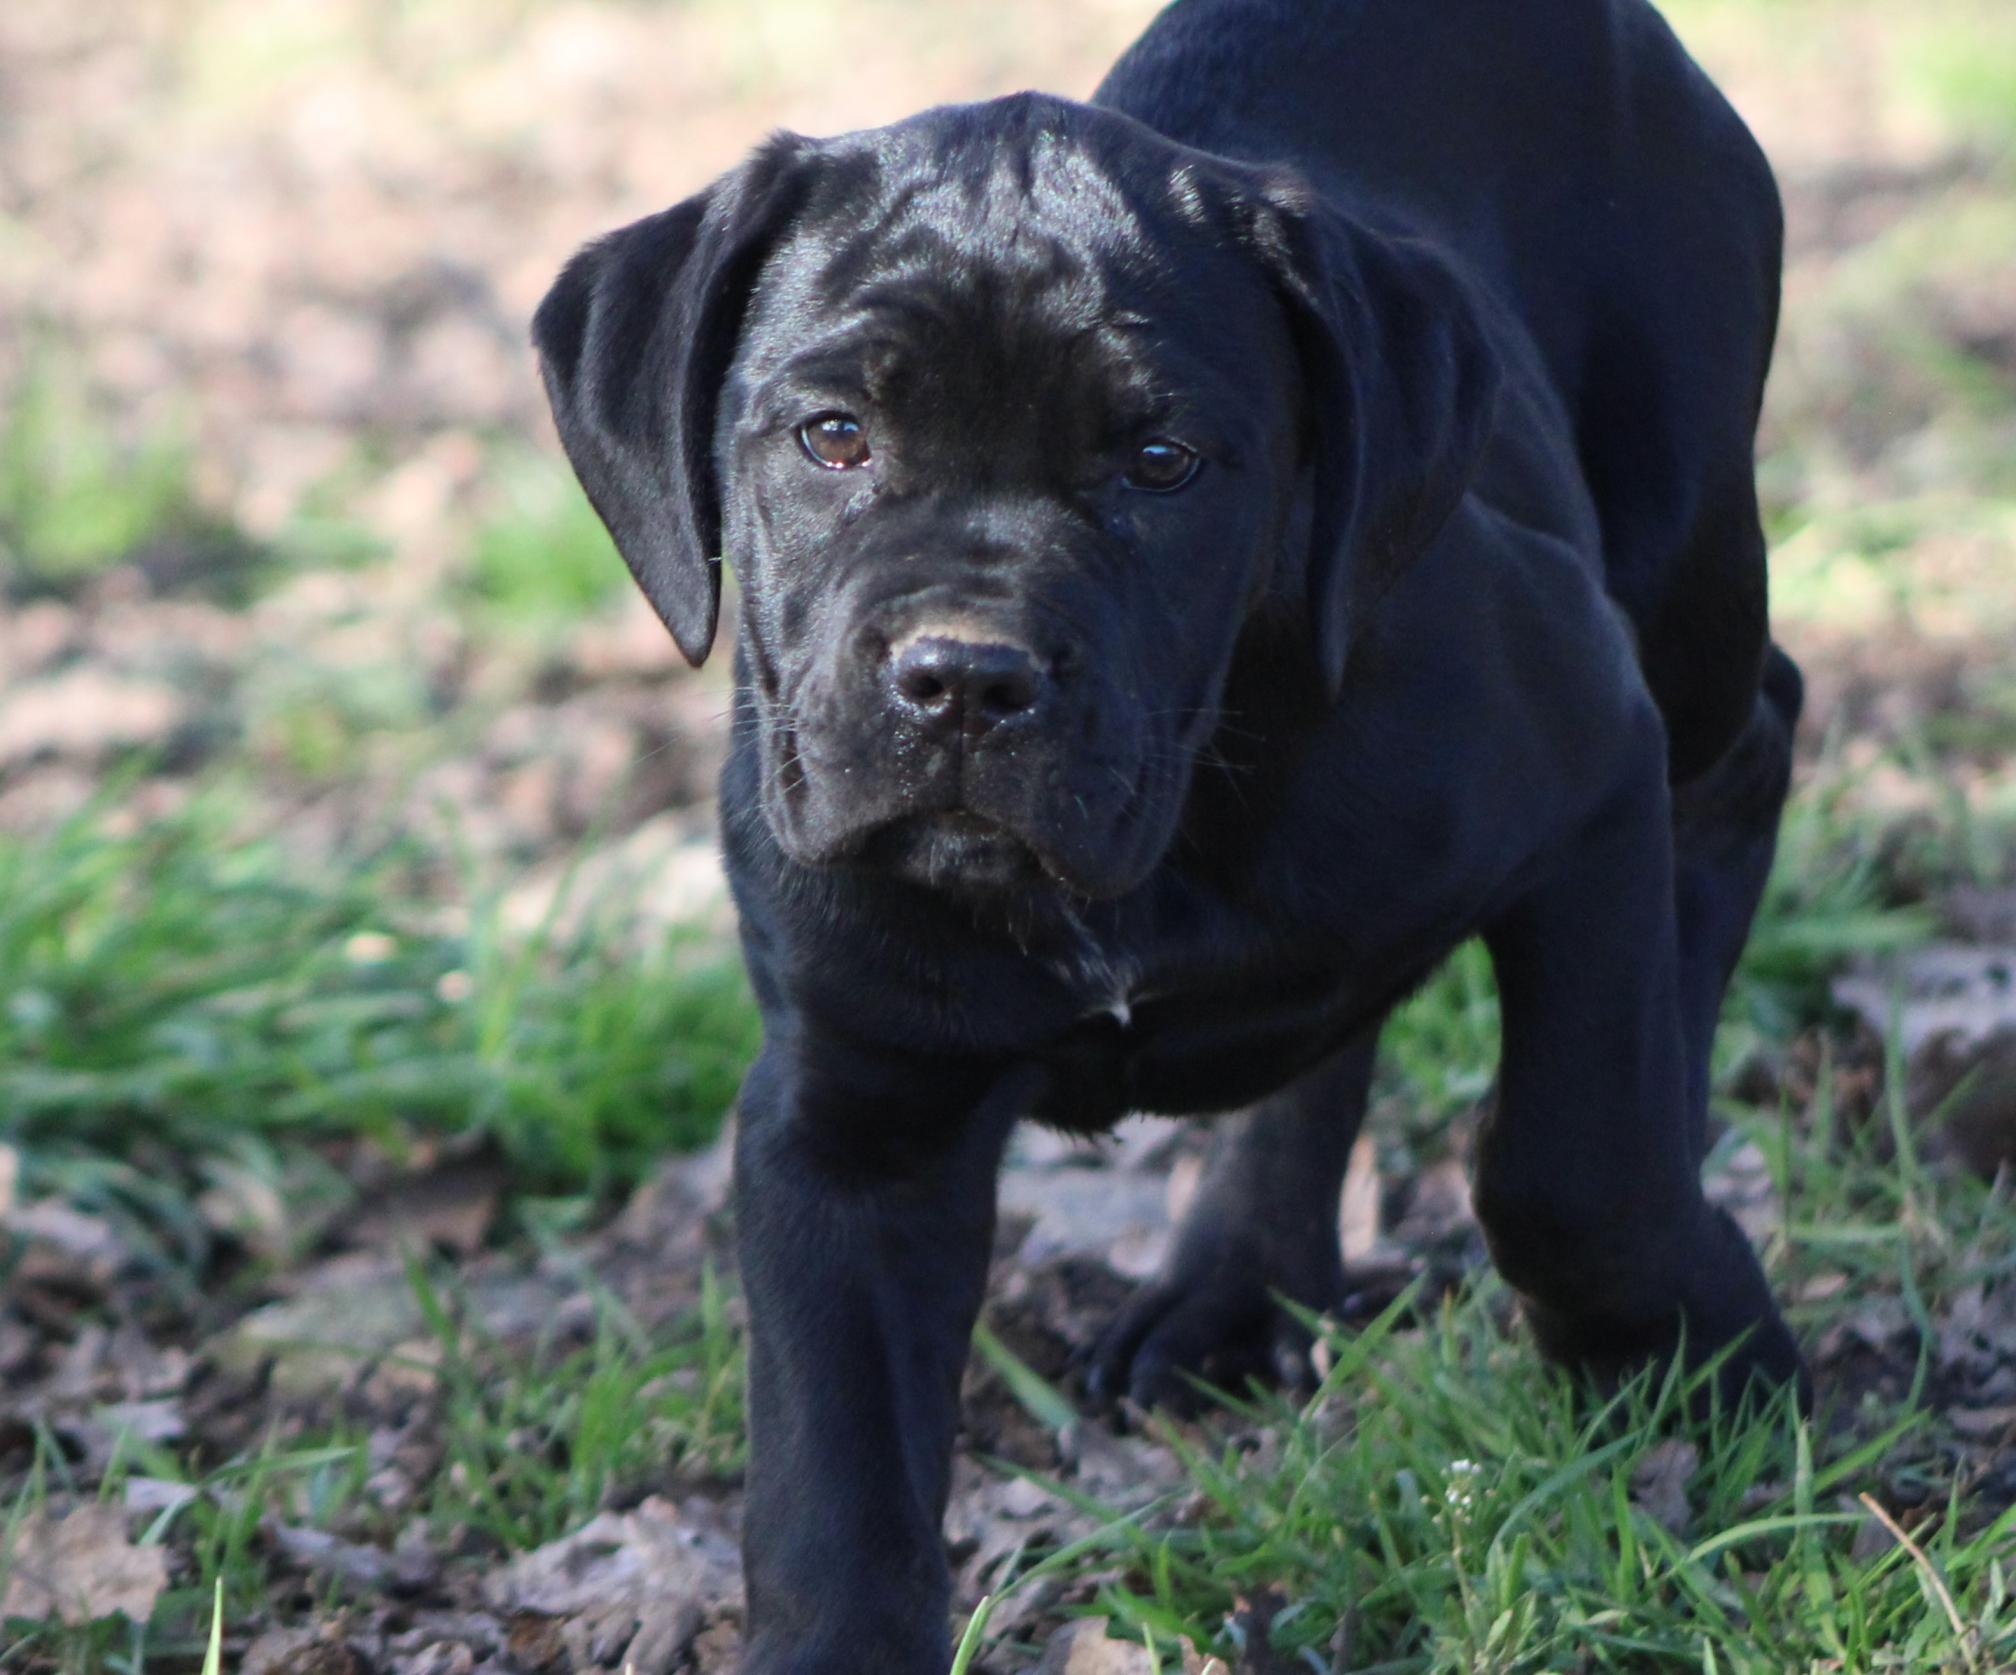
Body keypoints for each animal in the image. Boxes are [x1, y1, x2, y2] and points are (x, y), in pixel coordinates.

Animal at [536, 0, 1814, 1668]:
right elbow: (835, 1484)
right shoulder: (849, 1115)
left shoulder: (1588, 758)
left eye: (1161, 463)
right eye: (834, 436)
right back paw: (1237, 1284)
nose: (964, 677)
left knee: (1749, 746)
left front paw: (1700, 1371)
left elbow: (1572, 1153)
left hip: (1683, 556)